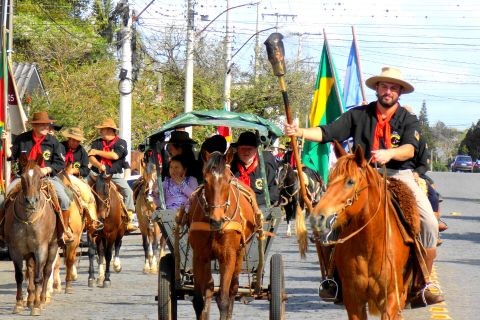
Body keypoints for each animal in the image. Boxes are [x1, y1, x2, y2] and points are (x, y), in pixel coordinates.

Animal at [3, 154, 58, 316]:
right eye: (22, 177)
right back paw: (30, 299)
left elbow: (39, 276)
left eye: (40, 177)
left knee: (46, 271)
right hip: (28, 251)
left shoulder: (41, 248)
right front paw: (19, 304)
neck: (28, 218)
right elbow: (19, 276)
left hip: (52, 246)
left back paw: (42, 299)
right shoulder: (15, 249)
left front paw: (37, 306)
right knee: (31, 269)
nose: (31, 201)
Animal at [183, 150, 258, 320]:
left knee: (233, 289)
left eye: (228, 180)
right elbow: (199, 300)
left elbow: (223, 299)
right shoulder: (199, 256)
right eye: (205, 179)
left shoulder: (228, 256)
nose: (216, 220)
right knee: (210, 287)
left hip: (239, 254)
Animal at [308, 142, 416, 320]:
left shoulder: (391, 297)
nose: (317, 218)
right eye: (329, 180)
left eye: (350, 182)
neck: (369, 246)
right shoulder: (353, 299)